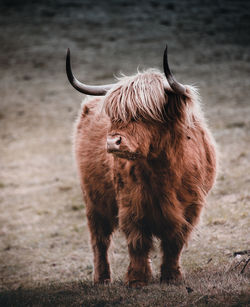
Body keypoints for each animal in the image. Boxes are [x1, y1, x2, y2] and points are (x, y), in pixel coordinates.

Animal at [66, 45, 217, 288]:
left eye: (143, 114)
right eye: (114, 115)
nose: (112, 142)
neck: (163, 170)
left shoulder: (191, 207)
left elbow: (175, 241)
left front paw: (172, 276)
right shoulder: (131, 204)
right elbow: (138, 241)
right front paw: (137, 279)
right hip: (93, 199)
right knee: (99, 239)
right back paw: (102, 278)